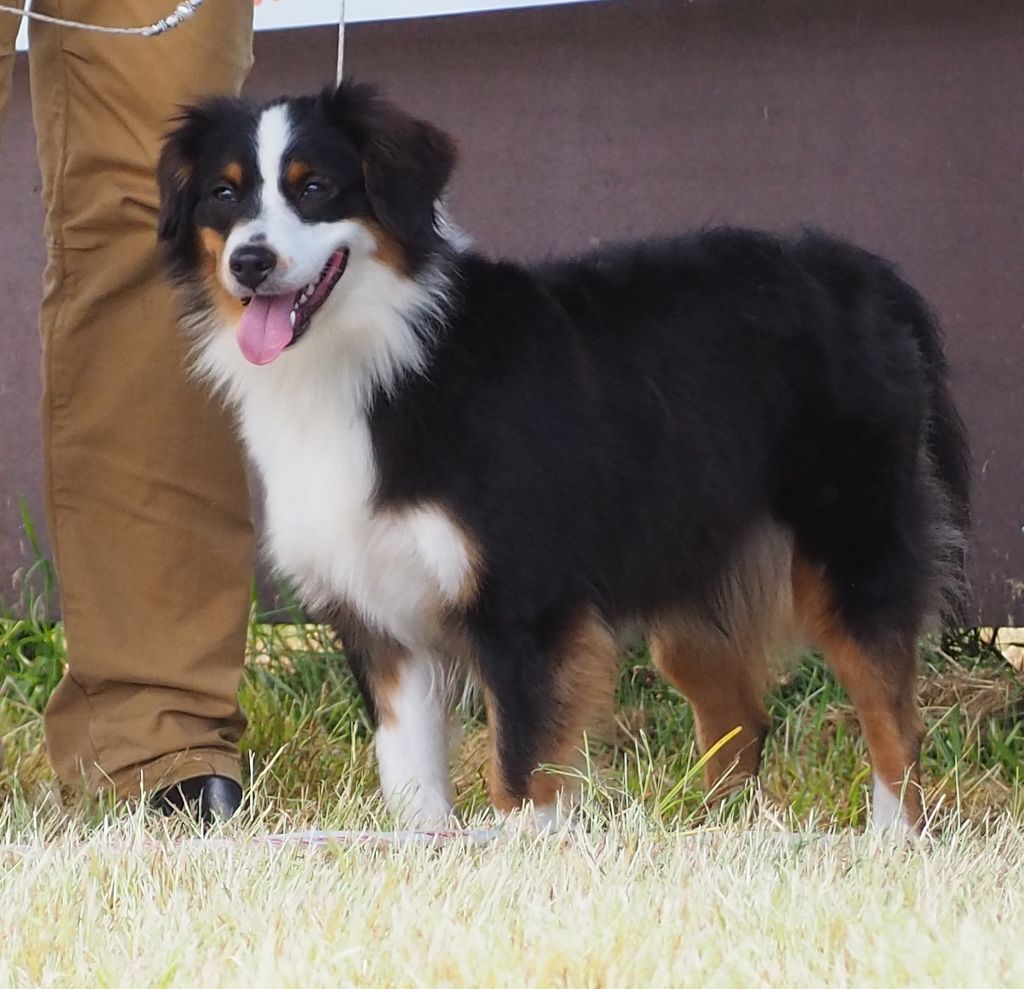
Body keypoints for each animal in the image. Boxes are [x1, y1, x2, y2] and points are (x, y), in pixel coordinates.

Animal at [157, 81, 966, 831]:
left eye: (316, 186)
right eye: (224, 193)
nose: (250, 262)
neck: (381, 358)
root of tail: (850, 268)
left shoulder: (525, 602)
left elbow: (521, 772)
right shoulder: (382, 621)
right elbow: (413, 783)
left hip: (852, 549)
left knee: (894, 720)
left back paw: (891, 838)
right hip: (689, 576)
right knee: (739, 720)